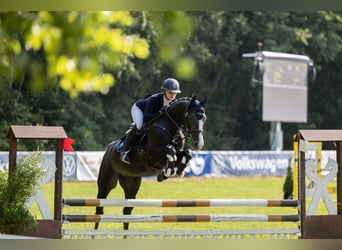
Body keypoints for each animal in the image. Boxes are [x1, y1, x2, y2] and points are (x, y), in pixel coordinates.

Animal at [93, 95, 207, 230]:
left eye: (204, 118)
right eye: (190, 117)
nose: (198, 144)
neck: (169, 127)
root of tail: (109, 147)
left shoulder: (177, 152)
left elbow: (186, 153)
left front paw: (174, 171)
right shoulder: (151, 156)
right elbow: (170, 149)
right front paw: (169, 171)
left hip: (131, 183)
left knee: (127, 211)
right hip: (106, 182)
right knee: (99, 209)